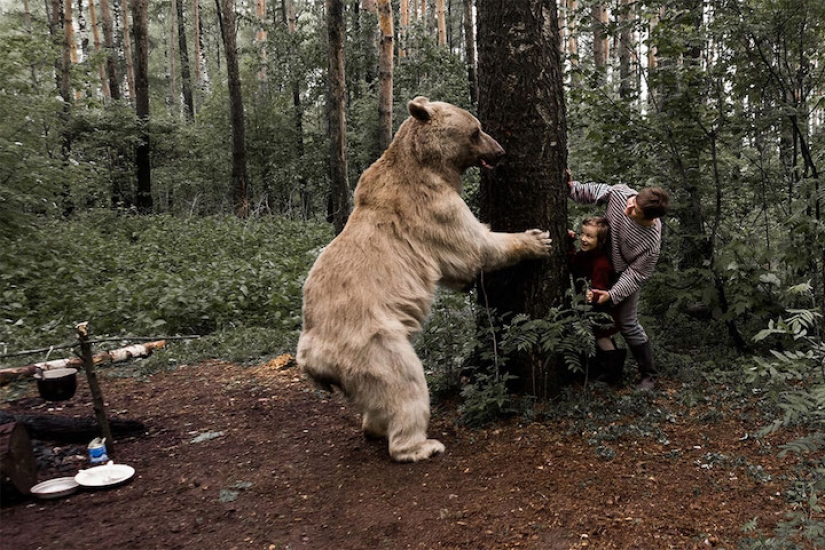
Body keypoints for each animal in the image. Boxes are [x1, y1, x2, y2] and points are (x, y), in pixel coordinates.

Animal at [298, 98, 552, 462]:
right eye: (476, 130)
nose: (500, 151)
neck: (426, 165)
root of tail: (311, 359)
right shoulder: (431, 207)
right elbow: (473, 246)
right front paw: (536, 239)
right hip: (372, 342)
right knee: (405, 382)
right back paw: (420, 444)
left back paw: (374, 427)